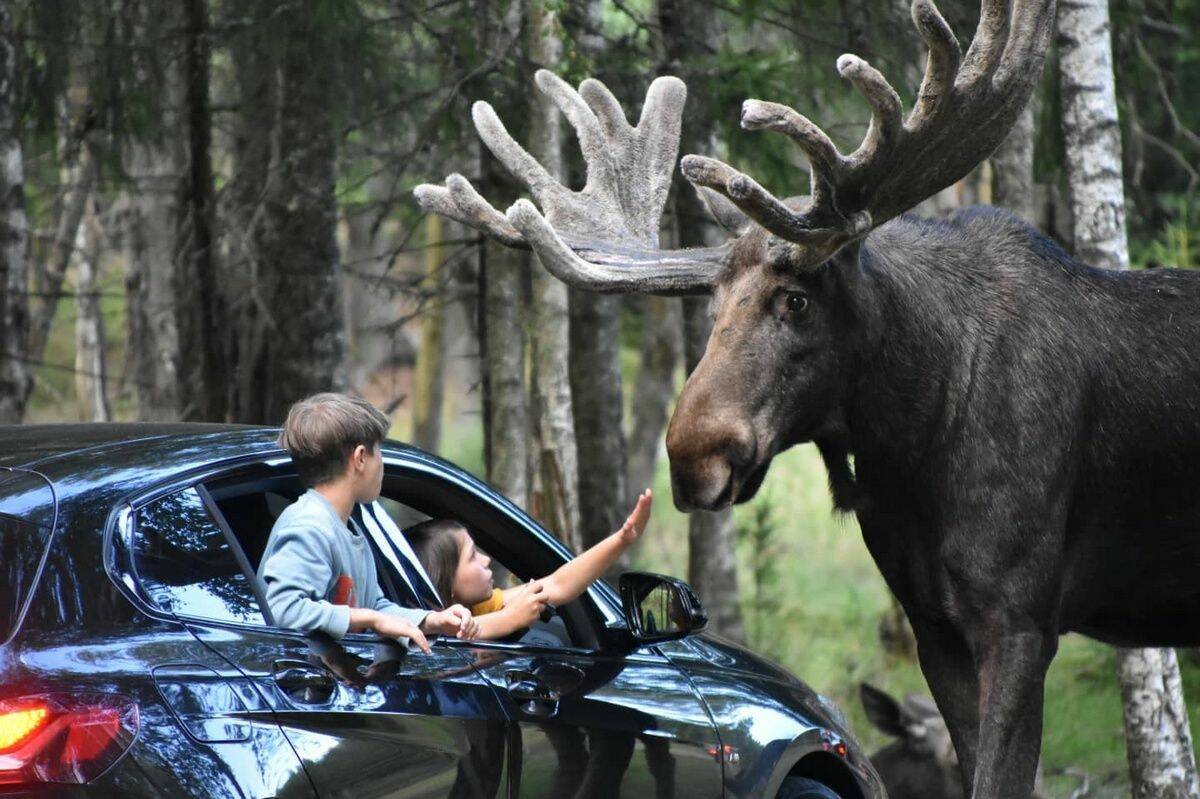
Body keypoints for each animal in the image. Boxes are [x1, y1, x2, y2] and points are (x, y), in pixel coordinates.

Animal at [415, 0, 1200, 791]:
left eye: (795, 299)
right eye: (711, 303)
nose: (693, 455)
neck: (919, 437)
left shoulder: (1019, 618)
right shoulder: (932, 624)